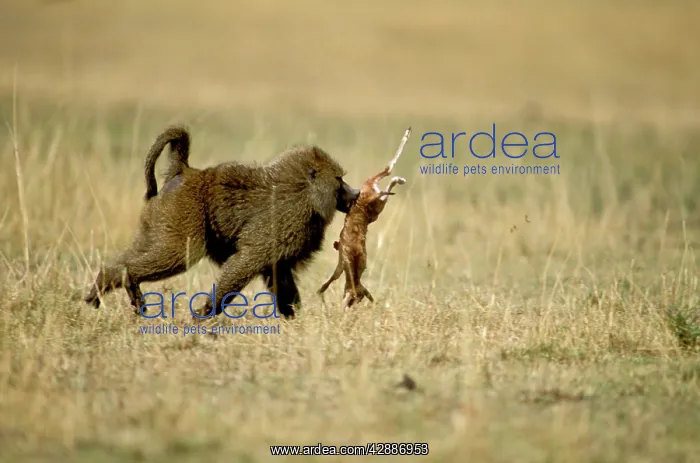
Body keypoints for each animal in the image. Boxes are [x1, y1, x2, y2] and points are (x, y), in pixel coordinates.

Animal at [84, 125, 360, 320]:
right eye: (339, 180)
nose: (356, 193)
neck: (303, 190)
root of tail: (185, 172)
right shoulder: (285, 219)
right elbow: (247, 261)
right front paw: (206, 311)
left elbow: (278, 271)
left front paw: (295, 320)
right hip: (183, 211)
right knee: (178, 254)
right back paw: (130, 277)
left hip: (159, 217)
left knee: (136, 253)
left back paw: (103, 282)